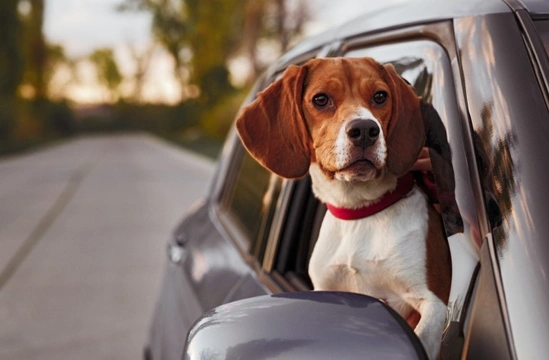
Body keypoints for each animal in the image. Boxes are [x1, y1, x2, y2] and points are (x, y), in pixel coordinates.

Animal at [235, 57, 450, 358]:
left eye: (380, 96)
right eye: (321, 99)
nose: (365, 131)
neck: (360, 211)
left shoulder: (433, 301)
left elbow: (422, 336)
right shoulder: (328, 291)